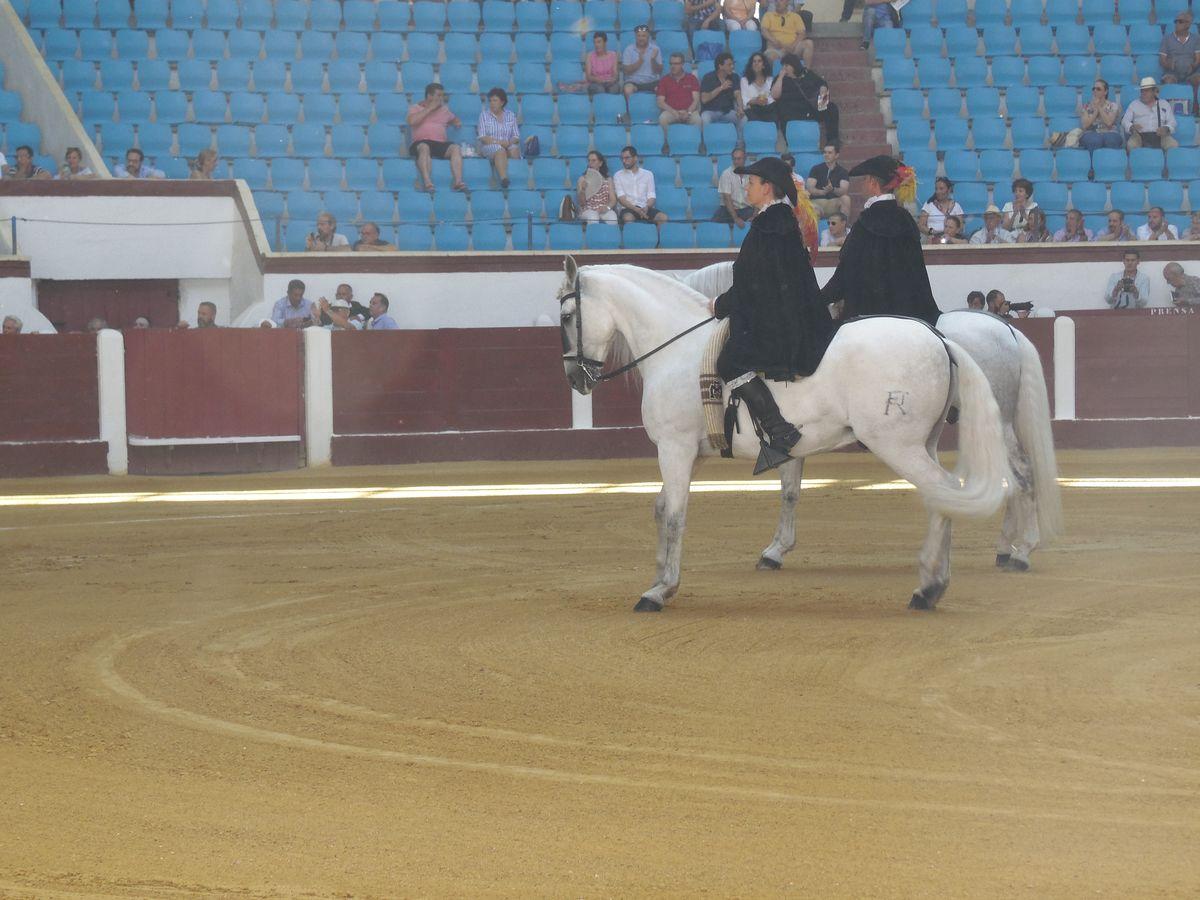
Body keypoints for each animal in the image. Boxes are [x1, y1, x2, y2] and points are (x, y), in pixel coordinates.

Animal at [556, 256, 1008, 619]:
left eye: (566, 317)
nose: (576, 379)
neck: (677, 351)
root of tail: (938, 337)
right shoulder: (692, 453)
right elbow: (661, 508)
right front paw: (661, 580)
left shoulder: (674, 448)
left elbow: (674, 515)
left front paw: (658, 591)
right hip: (922, 443)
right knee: (942, 497)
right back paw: (932, 585)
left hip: (899, 446)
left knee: (942, 492)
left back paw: (928, 588)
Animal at [681, 260, 1065, 571]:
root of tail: (1007, 329)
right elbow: (790, 492)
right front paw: (776, 550)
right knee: (1017, 475)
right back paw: (1007, 549)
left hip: (996, 420)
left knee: (1019, 474)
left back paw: (1018, 551)